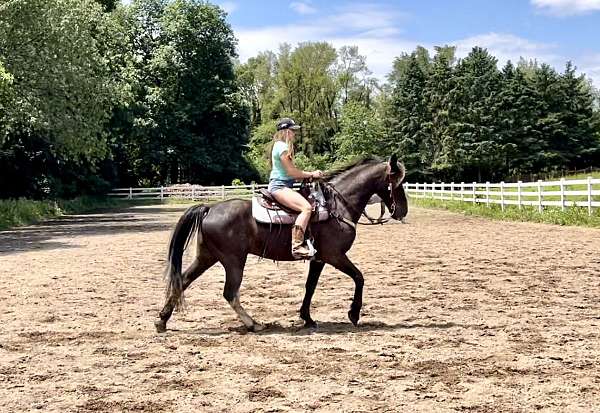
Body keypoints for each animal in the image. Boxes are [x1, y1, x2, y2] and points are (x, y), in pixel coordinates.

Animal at [155, 154, 408, 332]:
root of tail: (209, 208)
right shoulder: (335, 255)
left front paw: (307, 318)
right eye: (397, 183)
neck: (336, 206)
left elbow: (310, 286)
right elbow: (359, 277)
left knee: (182, 281)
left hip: (207, 256)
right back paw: (253, 324)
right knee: (229, 293)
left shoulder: (318, 259)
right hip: (233, 261)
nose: (403, 211)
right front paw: (354, 313)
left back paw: (162, 321)